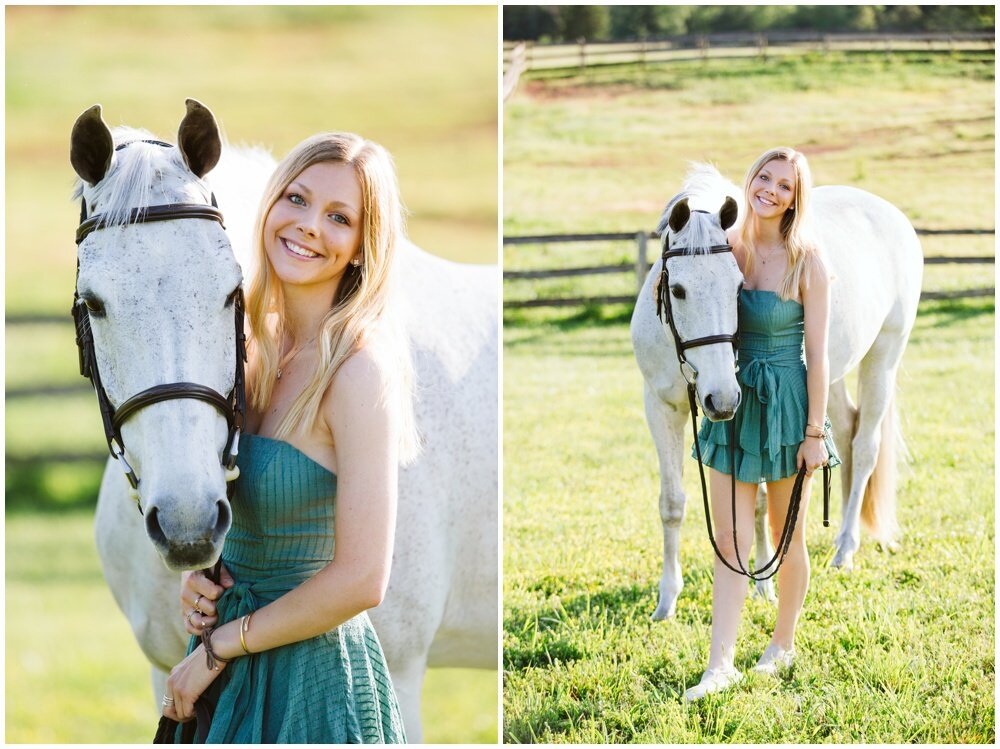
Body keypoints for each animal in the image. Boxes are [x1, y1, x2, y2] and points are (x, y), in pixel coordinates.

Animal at [632, 164, 920, 620]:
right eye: (678, 290)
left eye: (737, 287)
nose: (721, 400)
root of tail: (891, 214)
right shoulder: (659, 407)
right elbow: (672, 504)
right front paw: (666, 601)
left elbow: (760, 498)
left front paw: (763, 586)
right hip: (828, 376)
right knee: (847, 435)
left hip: (884, 355)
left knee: (866, 446)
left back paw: (845, 549)